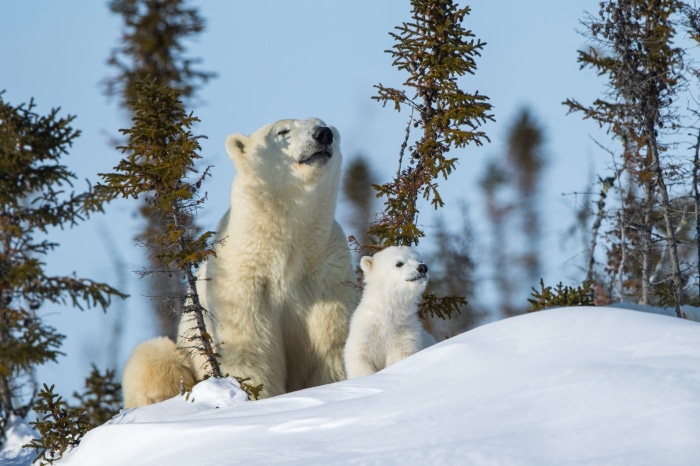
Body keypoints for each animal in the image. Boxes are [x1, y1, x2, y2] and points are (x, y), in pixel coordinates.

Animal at [122, 118, 358, 407]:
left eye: (322, 123)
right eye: (282, 131)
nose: (323, 135)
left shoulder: (325, 272)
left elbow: (330, 344)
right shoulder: (243, 279)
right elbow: (249, 348)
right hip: (180, 351)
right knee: (153, 359)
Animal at [344, 246, 436, 379]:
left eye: (420, 259)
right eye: (399, 263)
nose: (422, 267)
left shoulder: (404, 334)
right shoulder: (365, 334)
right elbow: (361, 360)